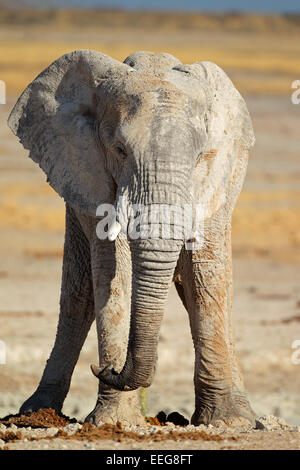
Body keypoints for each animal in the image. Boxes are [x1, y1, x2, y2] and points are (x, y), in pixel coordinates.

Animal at [7, 48, 255, 426]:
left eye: (200, 156)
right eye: (120, 149)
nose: (103, 368)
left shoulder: (216, 176)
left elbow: (205, 281)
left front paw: (227, 423)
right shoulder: (89, 168)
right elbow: (114, 271)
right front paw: (115, 422)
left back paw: (249, 418)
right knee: (78, 295)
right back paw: (36, 412)